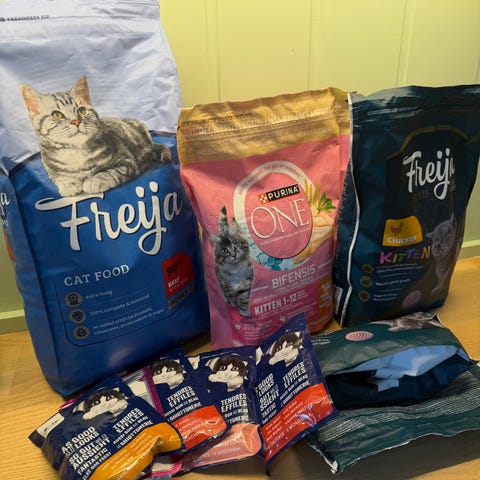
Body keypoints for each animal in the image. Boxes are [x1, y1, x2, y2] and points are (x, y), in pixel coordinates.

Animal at [20, 76, 171, 197]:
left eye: (81, 111)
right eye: (57, 115)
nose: (76, 121)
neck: (75, 153)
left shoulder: (126, 161)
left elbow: (109, 172)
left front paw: (94, 181)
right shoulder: (52, 169)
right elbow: (60, 177)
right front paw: (68, 184)